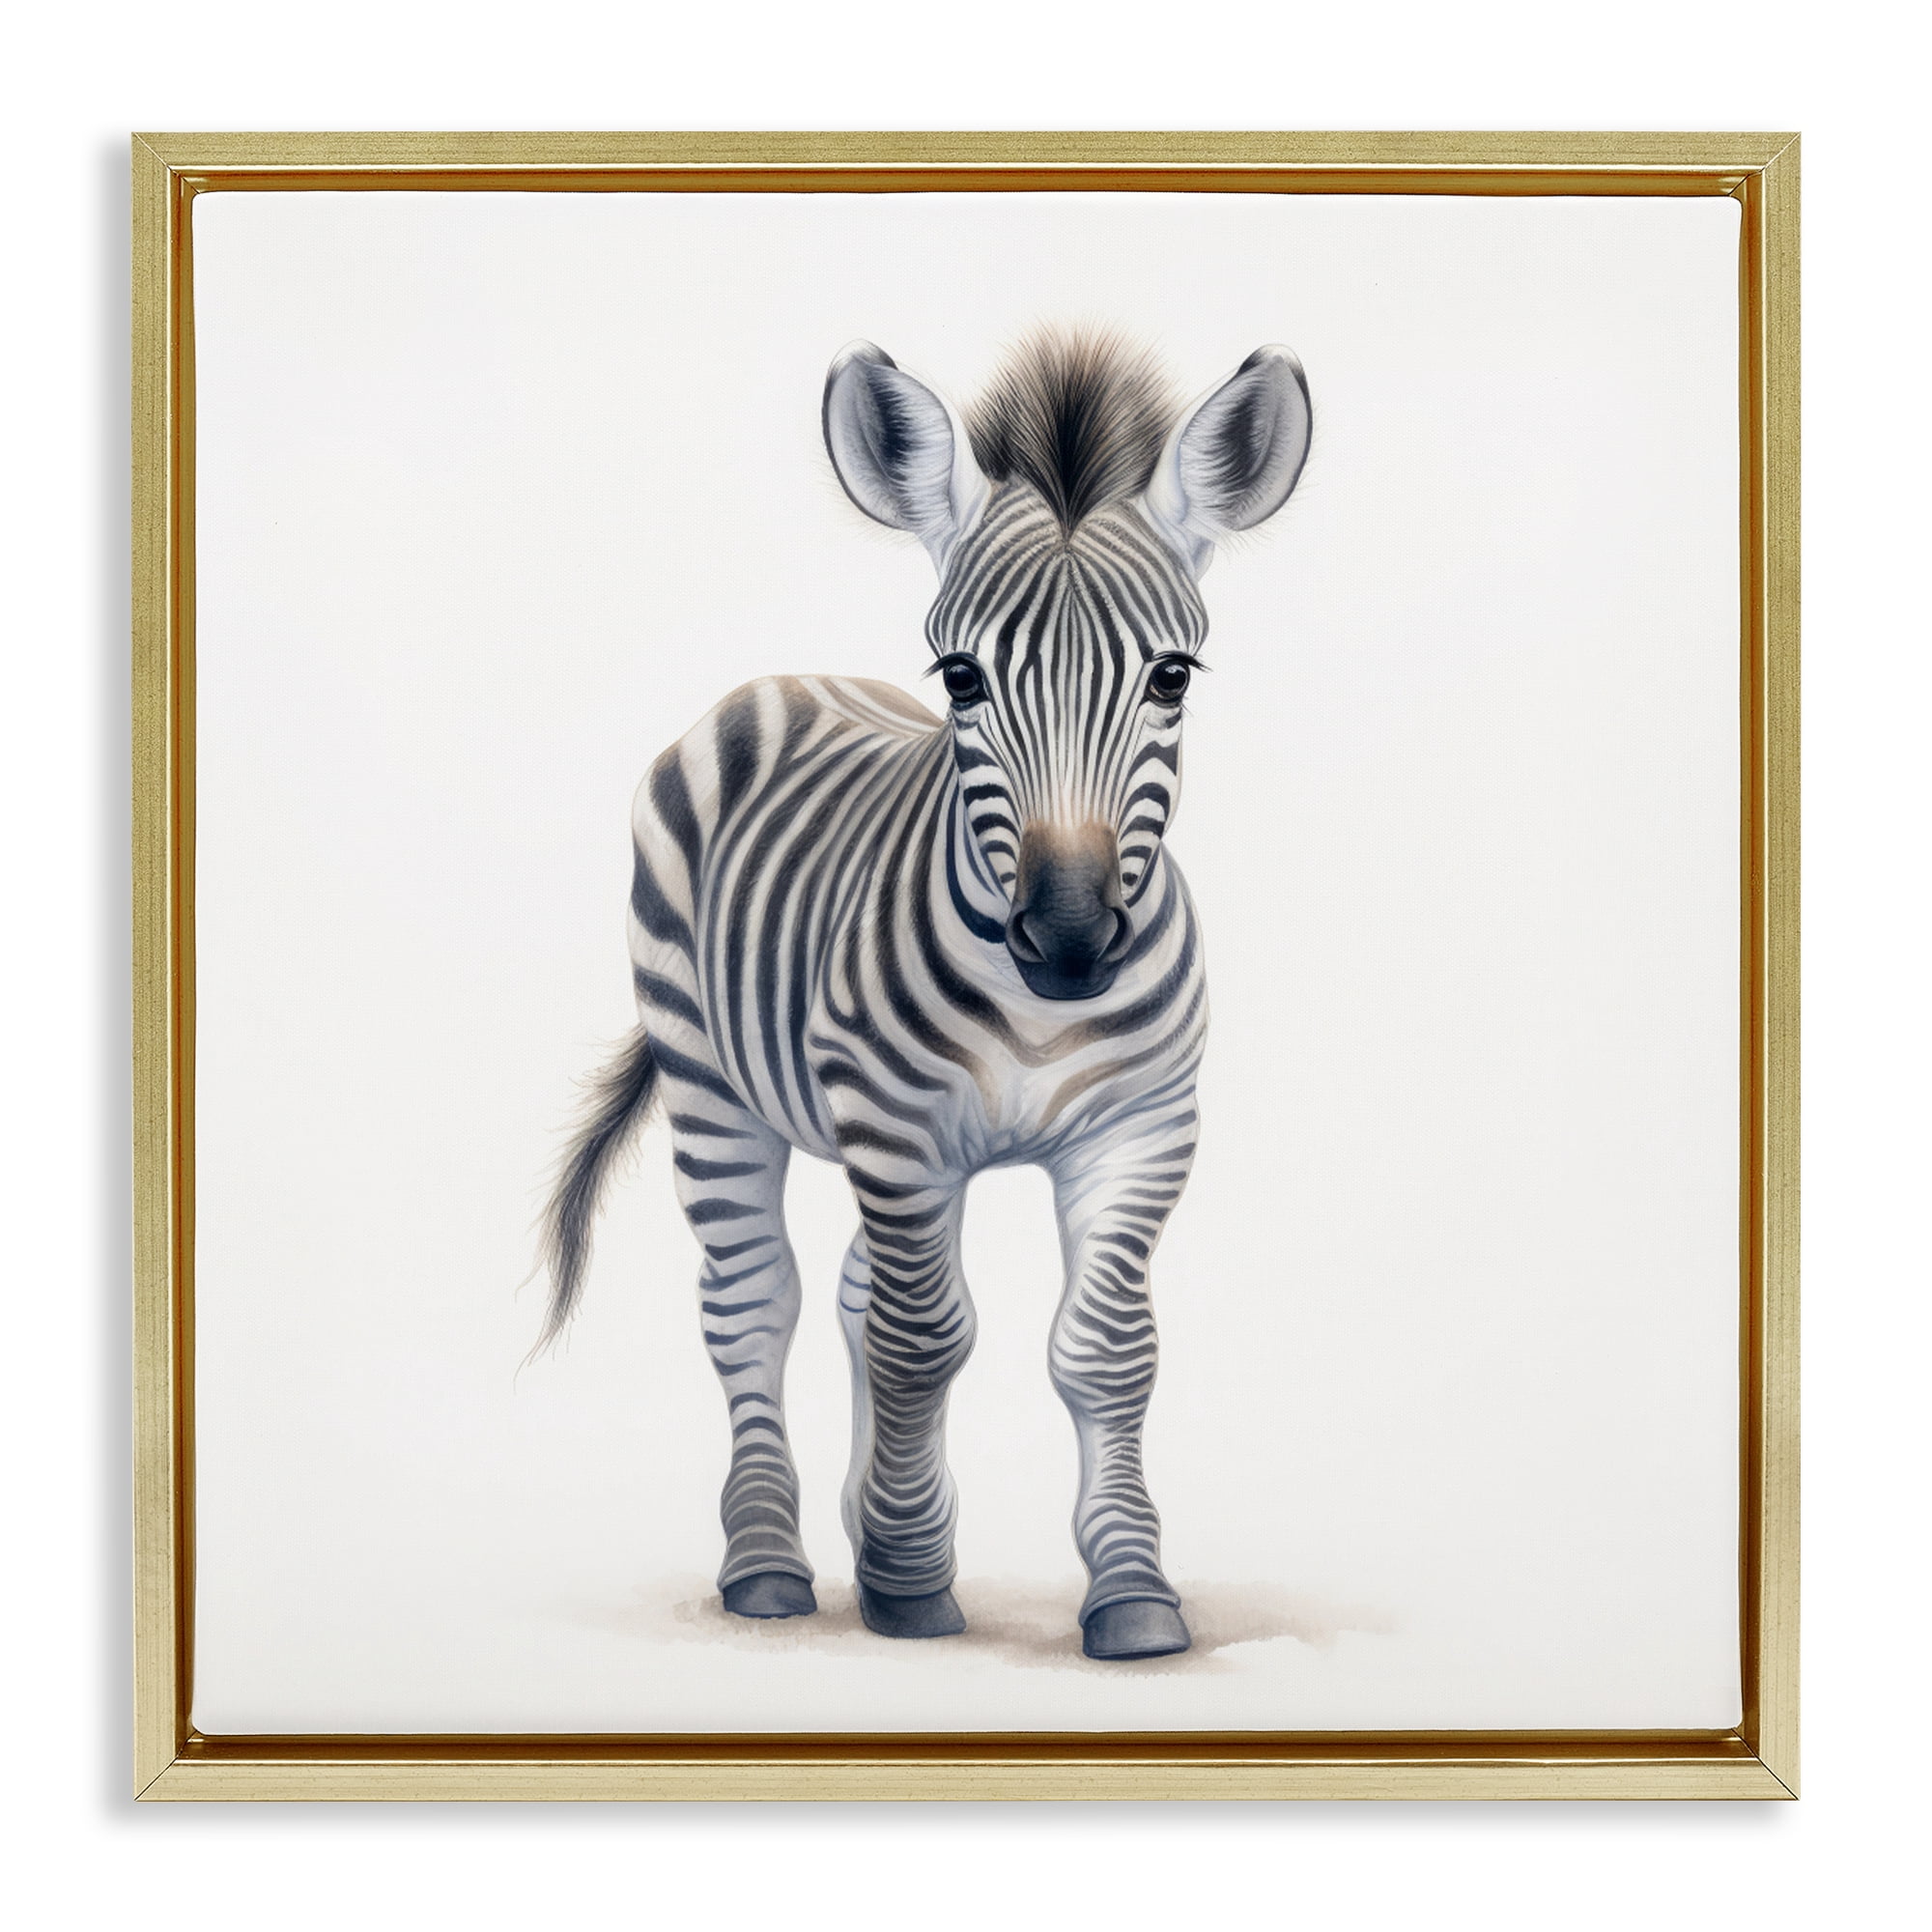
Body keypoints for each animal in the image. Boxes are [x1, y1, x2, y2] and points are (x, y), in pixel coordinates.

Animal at [537, 329, 1311, 1661]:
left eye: (1171, 675)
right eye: (959, 676)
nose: (1068, 940)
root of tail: (786, 679)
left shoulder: (1143, 1128)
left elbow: (1103, 1349)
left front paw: (1129, 1593)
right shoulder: (897, 1125)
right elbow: (923, 1338)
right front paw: (908, 1584)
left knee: (854, 1292)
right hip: (708, 1081)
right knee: (754, 1302)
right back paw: (768, 1562)